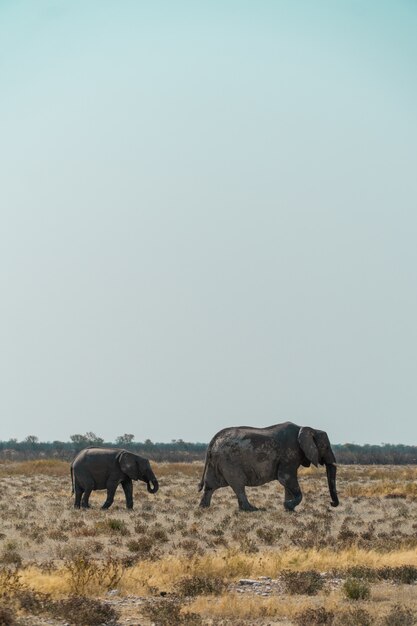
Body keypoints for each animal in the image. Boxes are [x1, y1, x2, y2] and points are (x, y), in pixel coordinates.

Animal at [198, 420, 338, 512]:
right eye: (326, 447)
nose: (331, 503)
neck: (306, 428)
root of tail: (213, 440)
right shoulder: (289, 454)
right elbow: (285, 478)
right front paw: (288, 505)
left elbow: (287, 482)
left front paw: (289, 509)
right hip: (229, 461)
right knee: (238, 485)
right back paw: (252, 509)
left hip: (216, 462)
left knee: (210, 485)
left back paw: (203, 508)